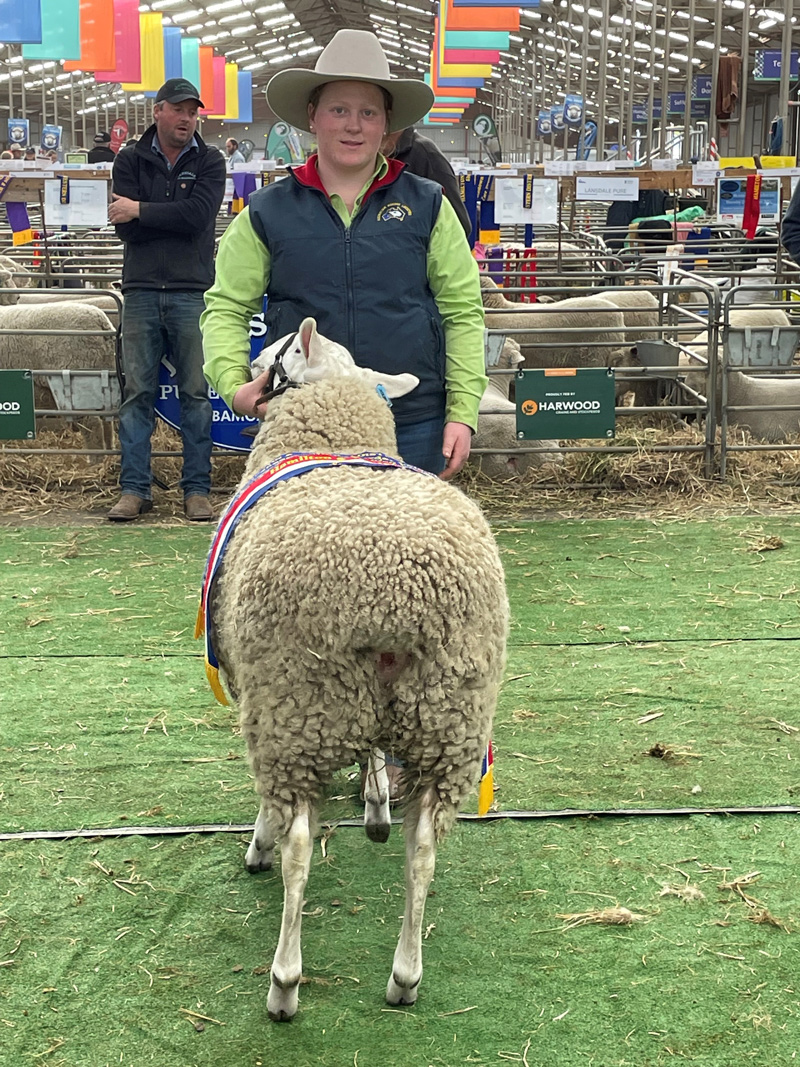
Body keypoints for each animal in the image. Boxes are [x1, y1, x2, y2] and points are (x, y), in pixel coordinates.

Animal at [204, 317, 507, 1024]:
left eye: (282, 352)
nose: (253, 371)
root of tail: (396, 594)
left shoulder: (258, 689)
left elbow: (275, 812)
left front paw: (257, 843)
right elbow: (372, 760)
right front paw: (374, 808)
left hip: (299, 701)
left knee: (300, 848)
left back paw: (284, 982)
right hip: (448, 713)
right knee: (422, 853)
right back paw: (405, 976)